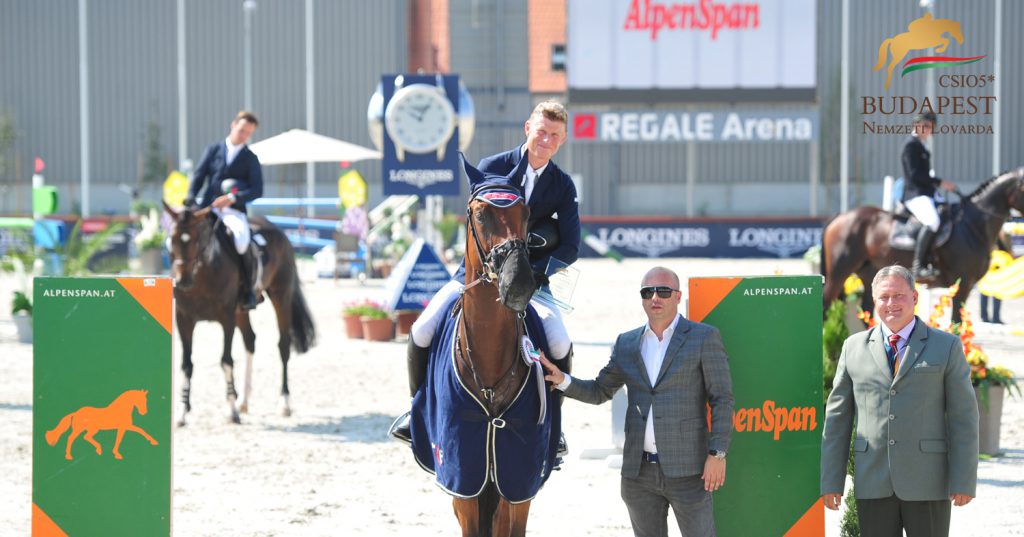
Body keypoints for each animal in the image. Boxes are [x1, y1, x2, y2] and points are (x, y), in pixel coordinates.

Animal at [162, 203, 315, 426]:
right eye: (171, 238)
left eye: (197, 239)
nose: (182, 281)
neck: (202, 275)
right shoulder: (184, 319)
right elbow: (186, 364)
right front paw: (182, 412)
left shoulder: (226, 318)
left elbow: (226, 361)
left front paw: (232, 411)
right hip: (242, 312)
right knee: (250, 340)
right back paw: (244, 401)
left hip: (281, 296)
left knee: (283, 345)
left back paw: (284, 403)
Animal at [823, 168, 1024, 325]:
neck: (972, 226)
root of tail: (840, 216)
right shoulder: (963, 284)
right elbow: (956, 323)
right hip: (839, 273)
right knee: (825, 305)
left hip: (869, 273)